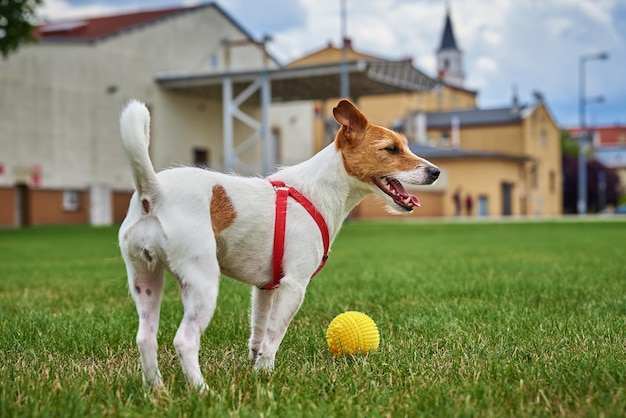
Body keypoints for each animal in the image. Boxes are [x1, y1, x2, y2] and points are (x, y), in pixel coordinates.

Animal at [118, 99, 438, 392]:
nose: (435, 171)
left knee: (145, 338)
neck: (319, 189)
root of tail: (153, 192)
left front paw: (255, 368)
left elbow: (259, 333)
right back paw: (202, 391)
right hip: (202, 284)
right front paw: (266, 374)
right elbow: (274, 334)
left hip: (146, 282)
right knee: (185, 340)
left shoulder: (265, 288)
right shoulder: (293, 286)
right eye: (391, 149)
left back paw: (156, 390)